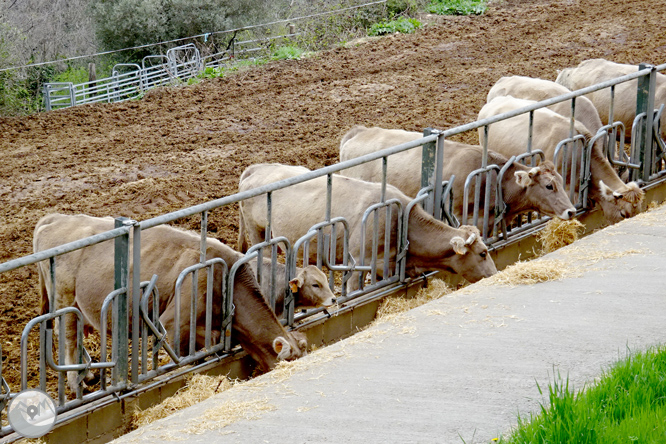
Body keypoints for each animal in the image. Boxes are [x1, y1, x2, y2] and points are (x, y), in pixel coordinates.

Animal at [32, 213, 308, 390]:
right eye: (290, 361)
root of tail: (55, 218)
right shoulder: (173, 324)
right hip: (64, 300)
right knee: (68, 338)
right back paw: (77, 381)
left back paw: (88, 375)